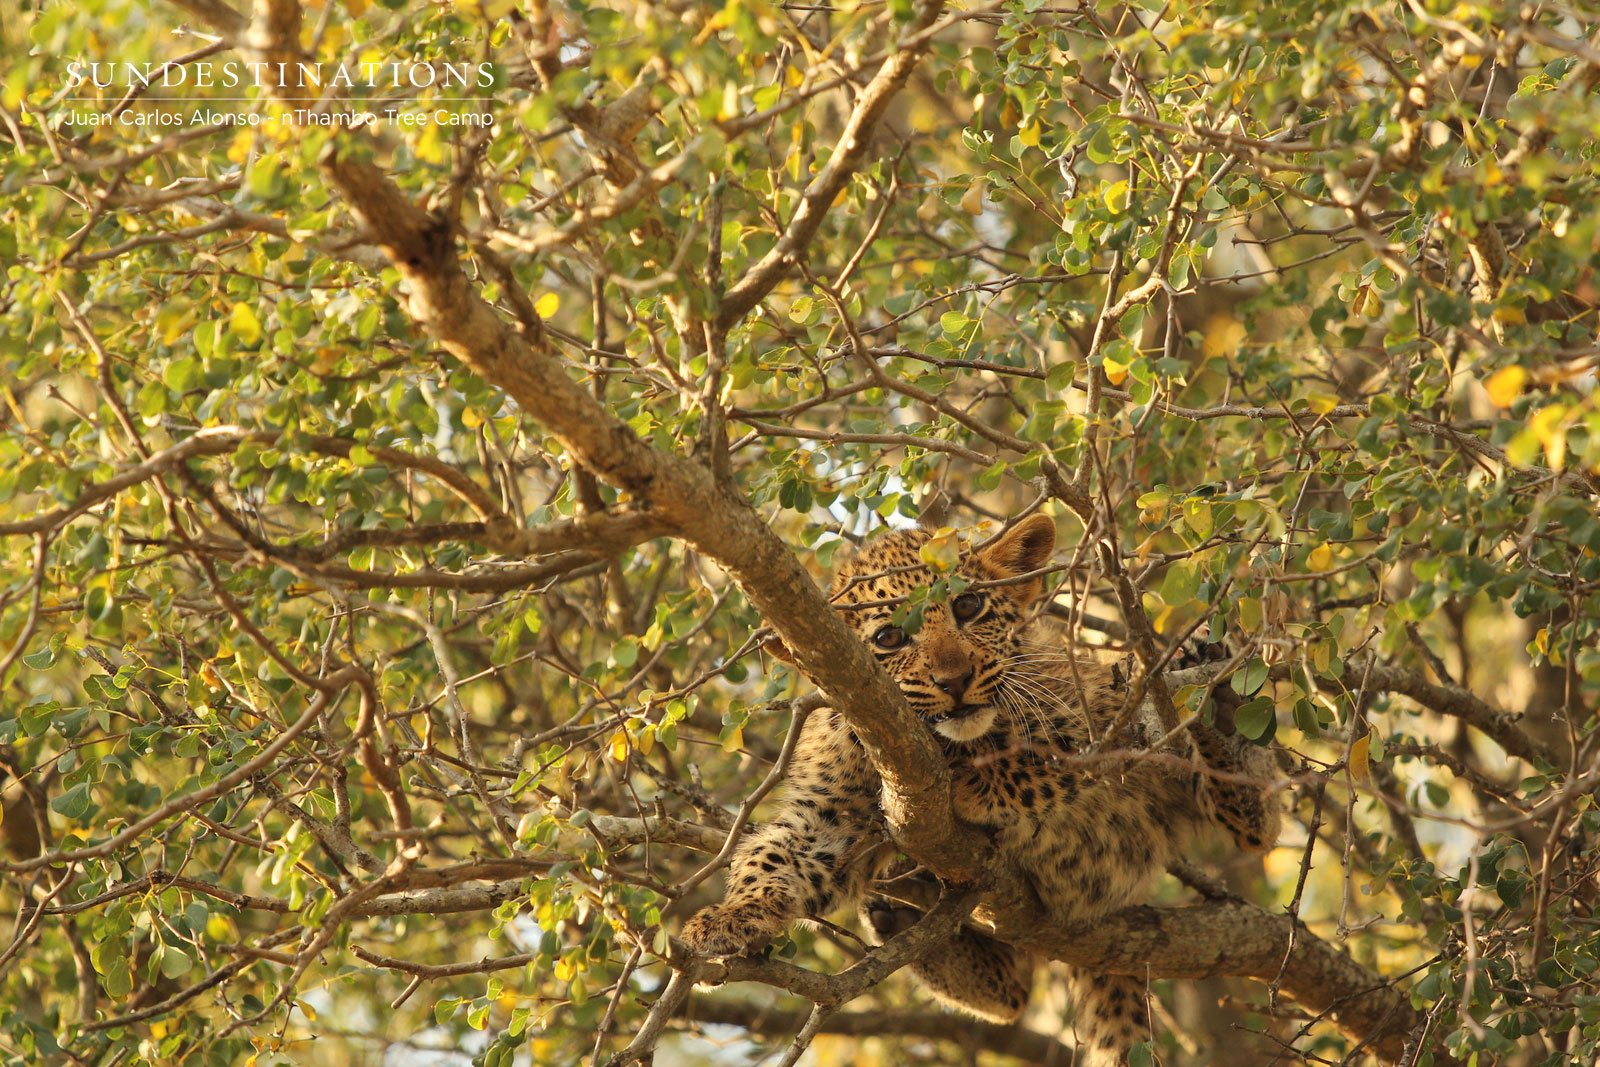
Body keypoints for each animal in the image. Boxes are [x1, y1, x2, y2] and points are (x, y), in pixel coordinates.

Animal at [681, 513, 1281, 1065]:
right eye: (888, 638)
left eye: (969, 607)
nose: (954, 680)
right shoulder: (829, 812)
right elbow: (772, 856)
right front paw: (725, 918)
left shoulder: (1104, 716)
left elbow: (1044, 762)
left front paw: (971, 783)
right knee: (1012, 994)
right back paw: (900, 918)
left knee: (1256, 824)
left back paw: (1219, 701)